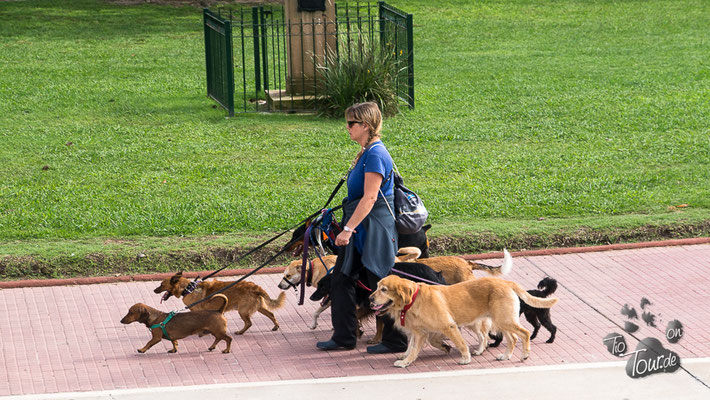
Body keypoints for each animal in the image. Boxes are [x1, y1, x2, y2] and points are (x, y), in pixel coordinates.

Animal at [370, 276, 560, 368]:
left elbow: (461, 344)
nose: (370, 299)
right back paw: (505, 356)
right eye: (377, 286)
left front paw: (465, 359)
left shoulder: (448, 326)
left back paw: (525, 354)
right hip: (502, 320)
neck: (414, 299)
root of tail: (506, 281)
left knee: (525, 333)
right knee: (512, 339)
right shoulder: (419, 332)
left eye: (384, 289)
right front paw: (405, 360)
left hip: (504, 319)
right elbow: (412, 349)